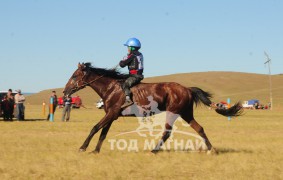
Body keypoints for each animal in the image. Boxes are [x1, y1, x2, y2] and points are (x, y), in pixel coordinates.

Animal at [63, 62, 243, 154]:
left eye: (74, 76)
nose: (65, 92)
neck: (111, 88)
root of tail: (187, 89)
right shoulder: (112, 115)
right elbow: (103, 133)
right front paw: (95, 150)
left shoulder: (111, 113)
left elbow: (95, 128)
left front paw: (83, 147)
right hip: (185, 113)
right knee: (199, 128)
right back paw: (212, 150)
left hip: (173, 113)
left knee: (167, 132)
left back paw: (154, 150)